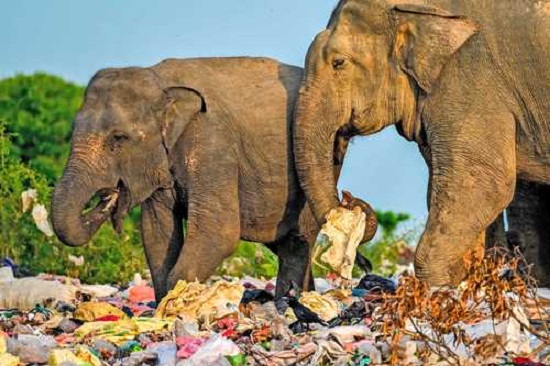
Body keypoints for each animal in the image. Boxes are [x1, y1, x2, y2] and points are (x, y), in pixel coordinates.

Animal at [51, 57, 380, 302]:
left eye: (118, 139)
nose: (107, 195)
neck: (161, 81)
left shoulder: (213, 145)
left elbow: (218, 231)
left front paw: (176, 304)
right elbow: (157, 233)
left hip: (323, 157)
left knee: (297, 239)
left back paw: (289, 304)